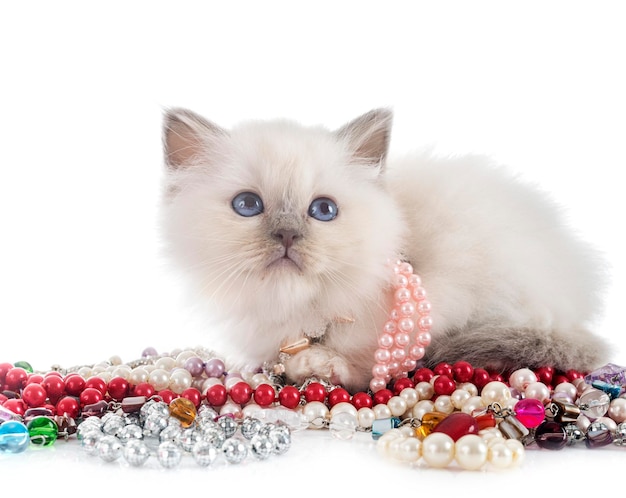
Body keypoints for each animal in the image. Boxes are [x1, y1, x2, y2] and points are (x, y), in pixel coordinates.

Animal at [158, 108, 608, 392]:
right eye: (248, 205)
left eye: (323, 210)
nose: (287, 235)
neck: (300, 305)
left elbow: (361, 363)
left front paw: (322, 365)